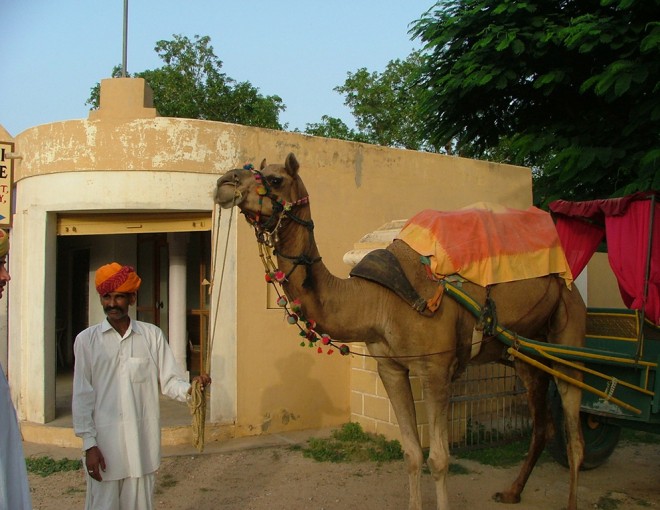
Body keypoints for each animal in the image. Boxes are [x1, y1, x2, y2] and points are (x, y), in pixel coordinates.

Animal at [217, 152, 588, 510]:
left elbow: (439, 458)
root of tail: (567, 276)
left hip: (568, 325)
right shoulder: (391, 367)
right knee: (543, 425)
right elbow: (411, 453)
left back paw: (570, 500)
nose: (224, 183)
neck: (376, 299)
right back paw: (511, 493)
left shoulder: (436, 368)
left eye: (275, 179)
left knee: (574, 432)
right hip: (526, 353)